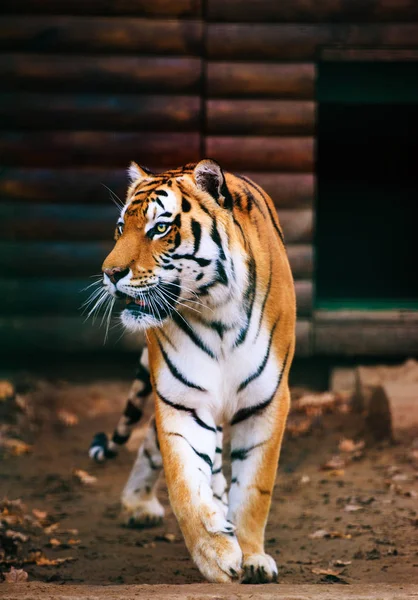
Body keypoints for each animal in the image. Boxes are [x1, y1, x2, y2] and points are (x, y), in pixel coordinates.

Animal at [90, 158, 296, 580]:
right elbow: (186, 487)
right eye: (121, 227)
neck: (218, 315)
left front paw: (252, 557)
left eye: (160, 228)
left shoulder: (266, 403)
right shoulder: (183, 402)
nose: (110, 273)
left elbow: (254, 491)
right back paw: (138, 505)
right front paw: (217, 556)